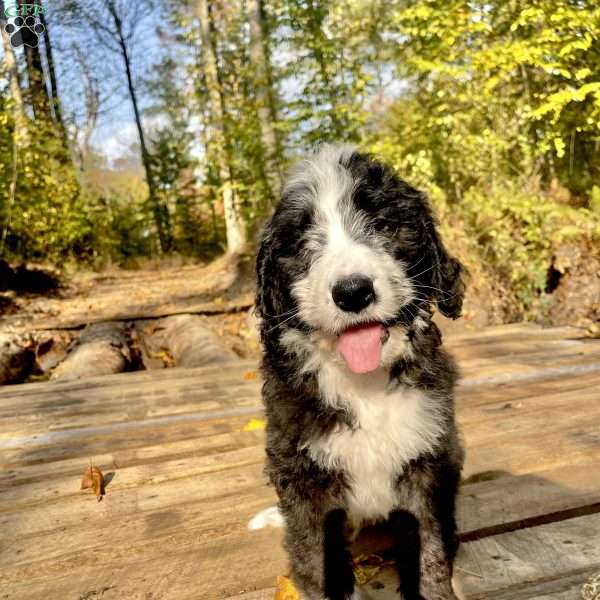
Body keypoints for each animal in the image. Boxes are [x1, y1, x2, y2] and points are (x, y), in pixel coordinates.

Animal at [255, 145, 466, 600]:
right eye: (301, 240)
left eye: (384, 225)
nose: (352, 292)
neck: (363, 385)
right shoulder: (301, 474)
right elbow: (315, 559)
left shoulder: (425, 460)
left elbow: (429, 550)